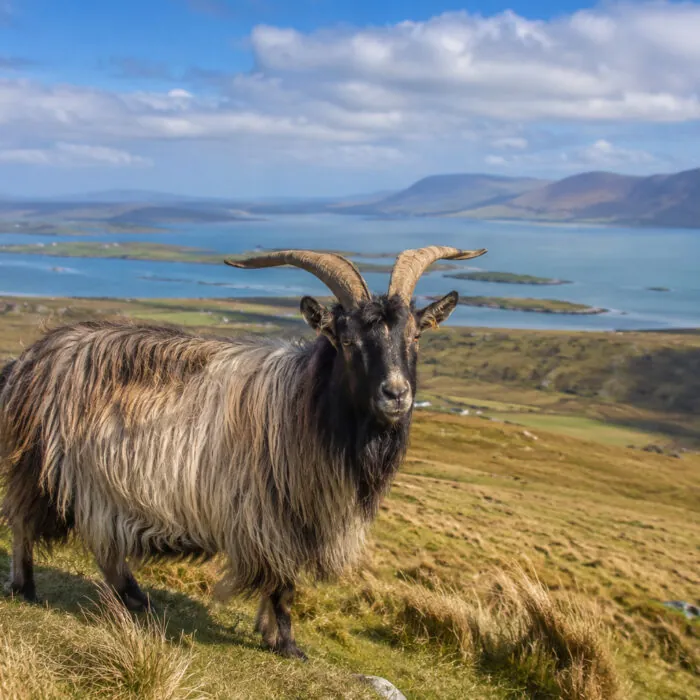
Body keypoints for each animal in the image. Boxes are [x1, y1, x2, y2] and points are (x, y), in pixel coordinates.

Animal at [0, 245, 486, 659]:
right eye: (347, 341)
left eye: (416, 336)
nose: (395, 394)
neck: (303, 404)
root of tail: (30, 357)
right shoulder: (274, 518)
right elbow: (283, 587)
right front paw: (287, 645)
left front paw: (267, 633)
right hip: (38, 466)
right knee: (24, 524)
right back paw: (26, 587)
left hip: (102, 486)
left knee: (105, 546)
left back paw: (135, 598)